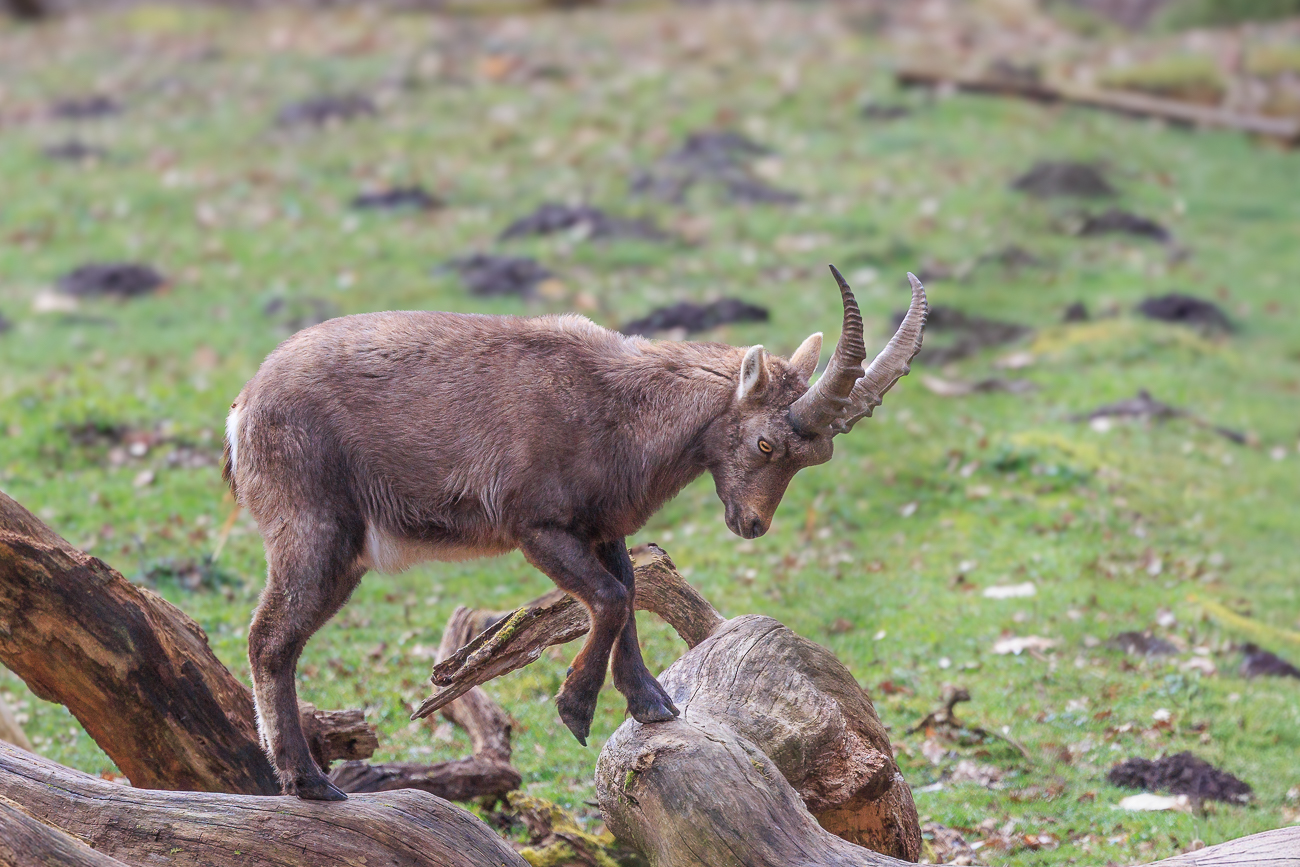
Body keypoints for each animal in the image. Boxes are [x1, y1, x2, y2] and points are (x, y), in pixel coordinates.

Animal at [224, 266, 926, 800]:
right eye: (764, 442)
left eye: (815, 458)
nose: (751, 524)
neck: (624, 411)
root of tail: (242, 410)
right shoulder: (538, 529)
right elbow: (611, 599)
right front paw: (576, 709)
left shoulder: (601, 528)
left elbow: (629, 595)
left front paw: (651, 705)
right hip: (315, 535)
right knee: (269, 640)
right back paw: (311, 784)